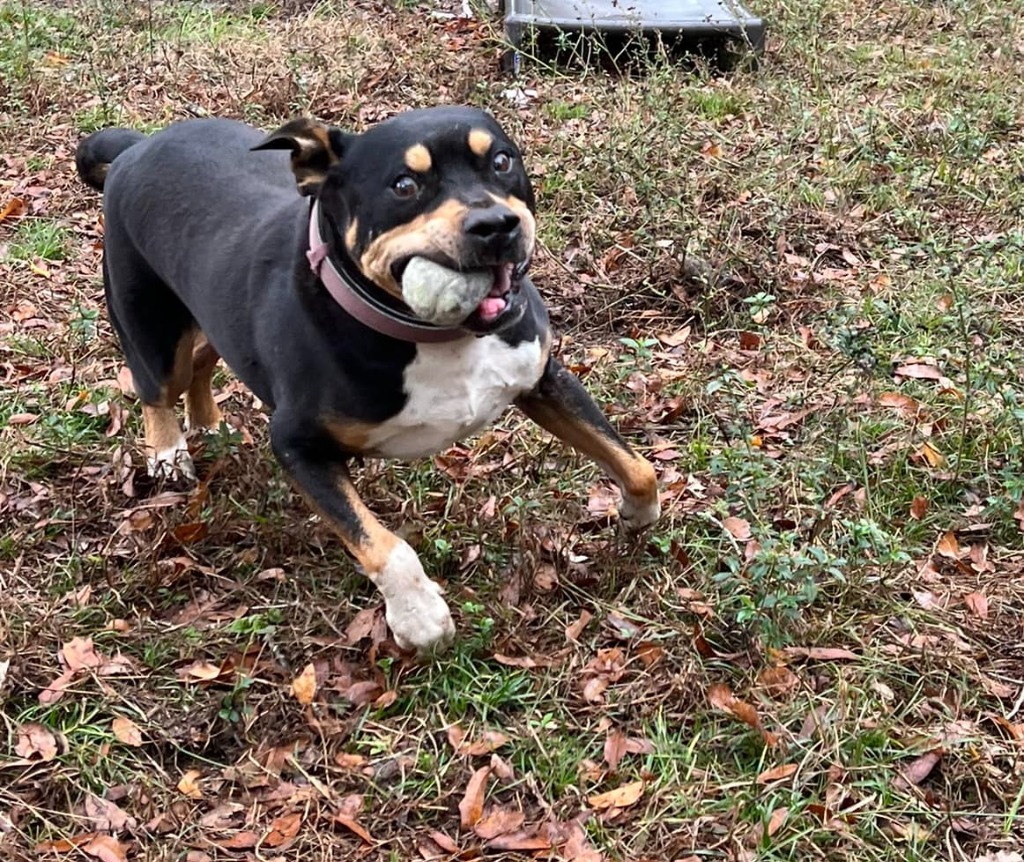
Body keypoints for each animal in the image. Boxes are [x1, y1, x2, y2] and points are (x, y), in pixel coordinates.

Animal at [75, 103, 659, 647]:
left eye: (500, 160)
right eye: (404, 185)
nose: (495, 226)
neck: (439, 337)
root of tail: (137, 145)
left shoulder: (543, 379)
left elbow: (637, 466)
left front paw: (636, 513)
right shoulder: (299, 445)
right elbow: (383, 546)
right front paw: (419, 616)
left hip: (216, 312)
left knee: (201, 361)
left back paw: (208, 422)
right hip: (149, 320)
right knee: (155, 384)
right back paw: (168, 450)